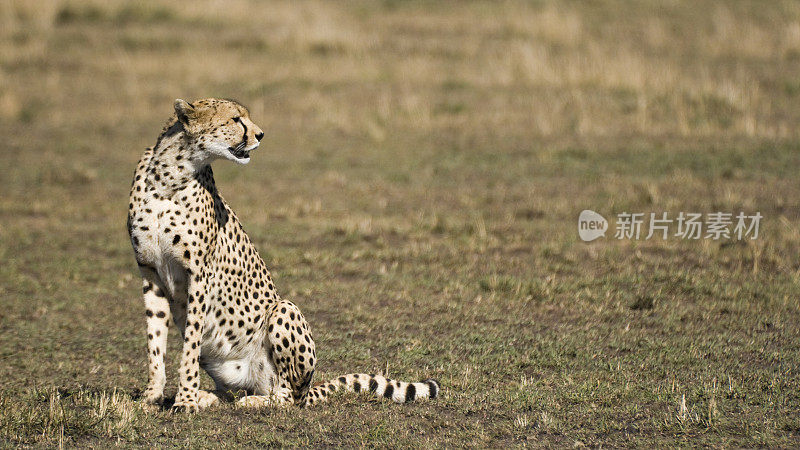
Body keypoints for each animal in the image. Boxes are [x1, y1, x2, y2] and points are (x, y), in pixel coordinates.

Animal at [128, 98, 440, 412]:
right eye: (235, 119)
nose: (261, 134)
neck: (170, 175)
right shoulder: (150, 272)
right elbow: (155, 342)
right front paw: (153, 396)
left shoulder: (198, 275)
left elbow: (190, 345)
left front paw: (185, 400)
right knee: (233, 392)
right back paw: (211, 396)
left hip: (283, 311)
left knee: (288, 396)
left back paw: (254, 400)